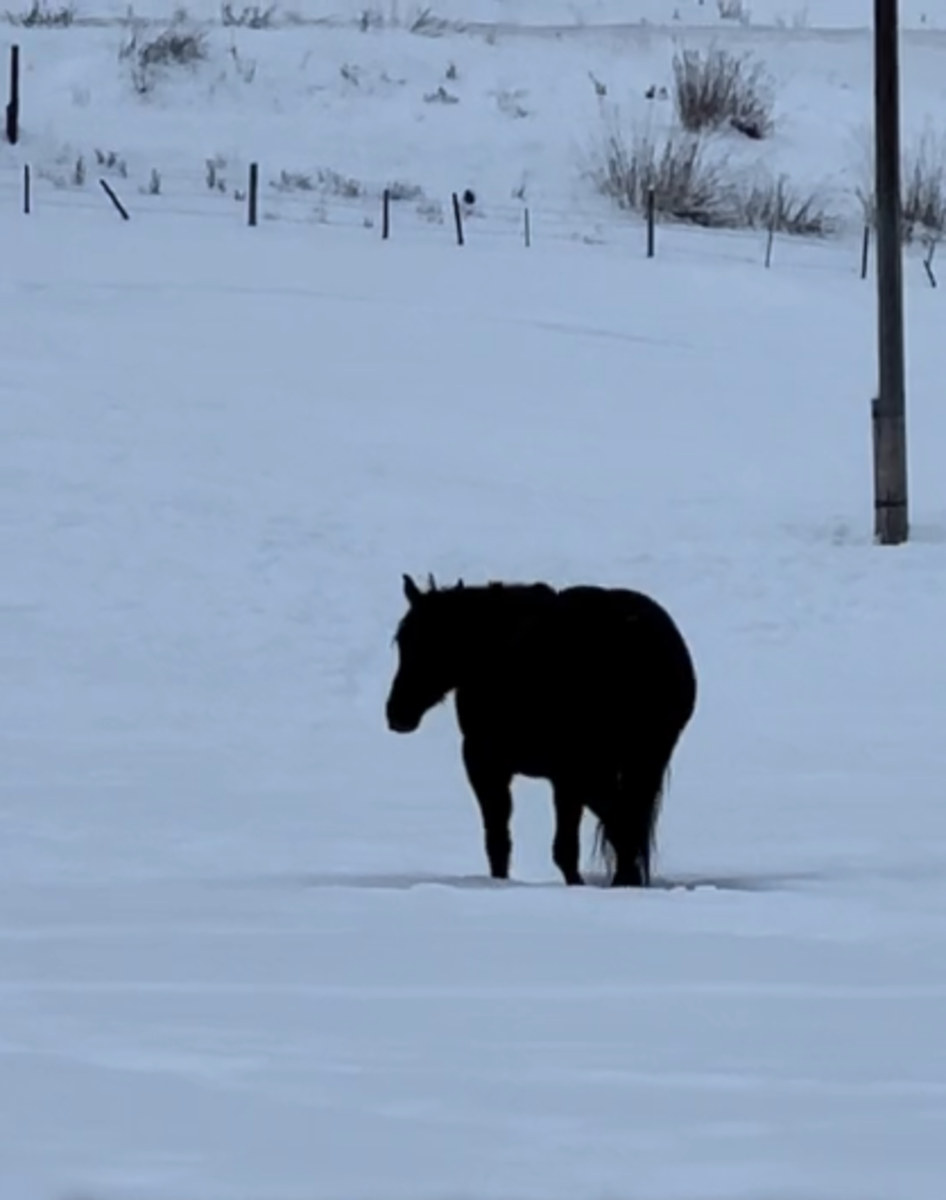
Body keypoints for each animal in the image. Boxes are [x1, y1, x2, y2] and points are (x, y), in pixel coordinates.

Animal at [381, 576, 696, 888]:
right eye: (402, 641)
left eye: (436, 642)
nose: (397, 713)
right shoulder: (564, 779)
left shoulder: (487, 764)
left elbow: (502, 841)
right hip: (637, 763)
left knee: (620, 826)